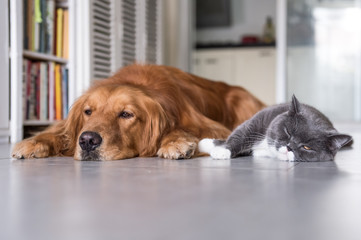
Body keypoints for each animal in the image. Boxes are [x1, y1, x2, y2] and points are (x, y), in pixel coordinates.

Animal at [197, 95, 352, 161]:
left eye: (307, 147)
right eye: (288, 132)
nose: (289, 147)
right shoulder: (257, 121)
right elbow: (239, 135)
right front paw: (215, 148)